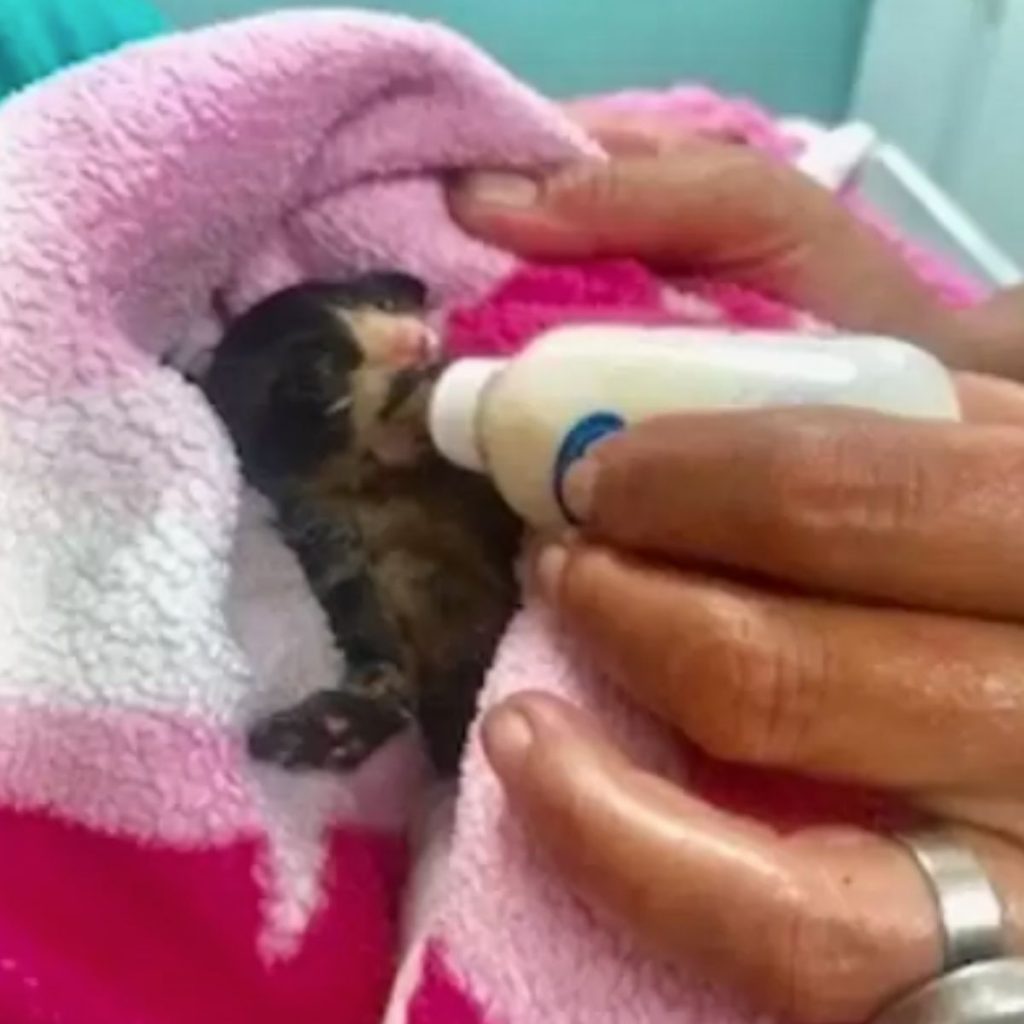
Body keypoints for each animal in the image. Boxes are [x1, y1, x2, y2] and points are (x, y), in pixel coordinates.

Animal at [201, 274, 520, 774]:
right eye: (320, 371)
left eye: (386, 302)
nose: (416, 340)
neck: (386, 476)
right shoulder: (326, 534)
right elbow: (369, 636)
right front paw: (339, 721)